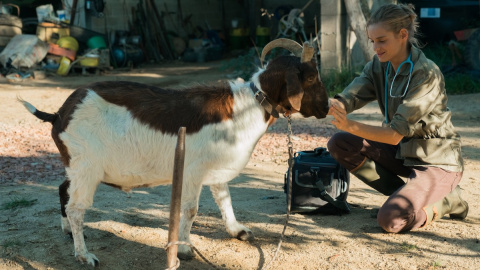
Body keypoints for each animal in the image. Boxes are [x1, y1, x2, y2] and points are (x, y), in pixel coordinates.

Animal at [21, 38, 330, 266]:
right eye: (311, 77)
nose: (327, 107)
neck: (249, 105)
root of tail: (59, 114)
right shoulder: (193, 171)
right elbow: (191, 210)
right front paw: (183, 251)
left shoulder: (216, 166)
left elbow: (225, 199)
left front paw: (237, 230)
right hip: (87, 167)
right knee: (76, 208)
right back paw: (84, 255)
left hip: (77, 165)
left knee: (63, 190)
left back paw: (66, 231)